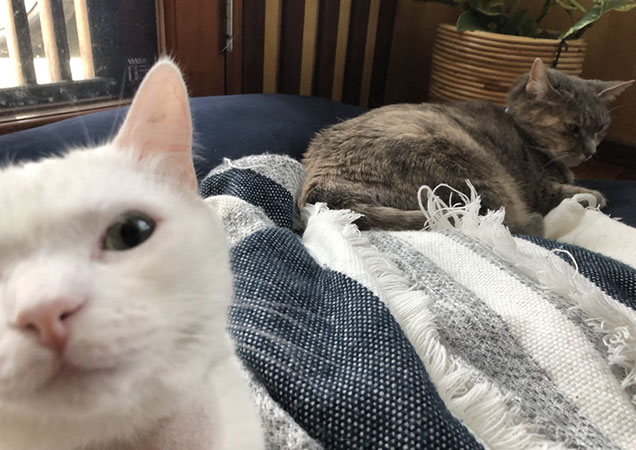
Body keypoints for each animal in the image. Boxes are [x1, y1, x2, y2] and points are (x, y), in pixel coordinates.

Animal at [300, 58, 634, 236]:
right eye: (573, 128)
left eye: (600, 128)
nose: (591, 151)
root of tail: (324, 188)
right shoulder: (539, 188)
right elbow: (573, 192)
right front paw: (593, 195)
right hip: (473, 168)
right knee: (508, 221)